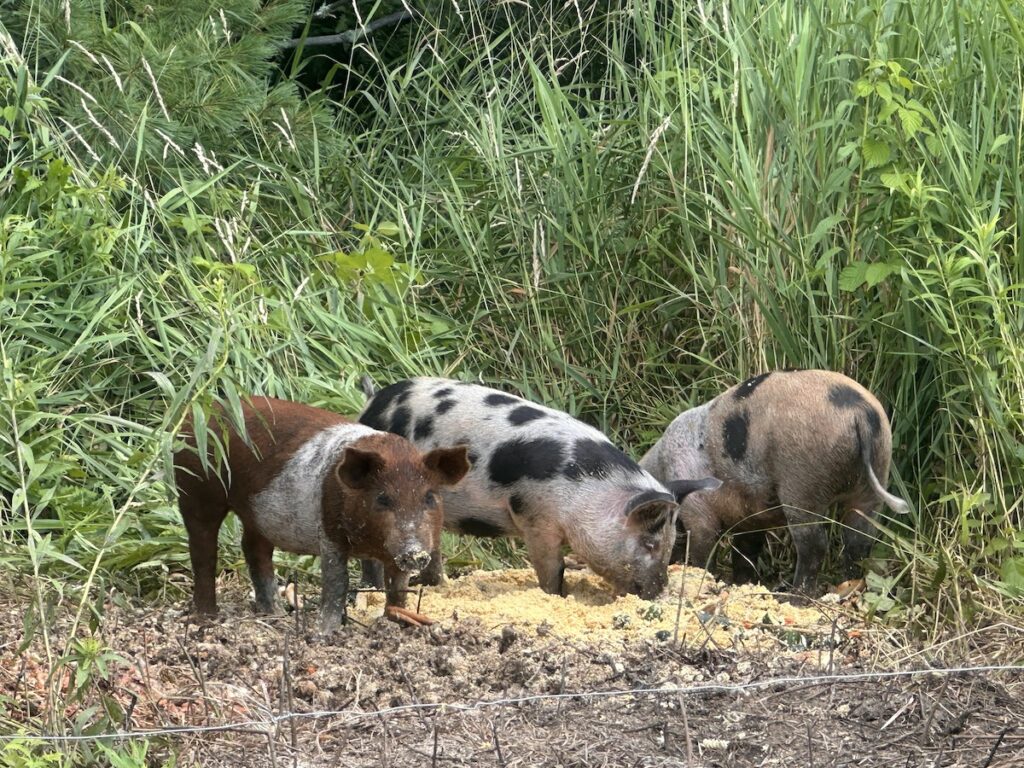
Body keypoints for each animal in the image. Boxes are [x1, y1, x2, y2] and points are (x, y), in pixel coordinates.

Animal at [173, 396, 470, 630]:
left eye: (429, 497)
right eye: (383, 498)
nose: (415, 552)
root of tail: (192, 416)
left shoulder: (393, 551)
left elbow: (397, 587)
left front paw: (396, 624)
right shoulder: (329, 530)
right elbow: (337, 581)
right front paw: (327, 633)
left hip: (257, 513)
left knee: (254, 548)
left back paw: (275, 615)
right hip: (196, 489)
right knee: (203, 553)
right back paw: (207, 619)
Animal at [357, 378, 721, 600]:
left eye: (672, 542)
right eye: (649, 543)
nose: (658, 593)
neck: (588, 491)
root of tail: (374, 401)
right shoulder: (534, 516)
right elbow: (551, 568)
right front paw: (556, 596)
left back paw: (433, 585)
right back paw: (373, 592)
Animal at [639, 369, 910, 594]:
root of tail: (859, 412)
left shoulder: (698, 510)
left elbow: (703, 547)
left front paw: (704, 574)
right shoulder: (751, 519)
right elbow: (745, 551)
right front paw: (743, 583)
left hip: (803, 479)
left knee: (814, 543)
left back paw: (794, 596)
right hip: (877, 468)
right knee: (859, 539)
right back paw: (849, 586)